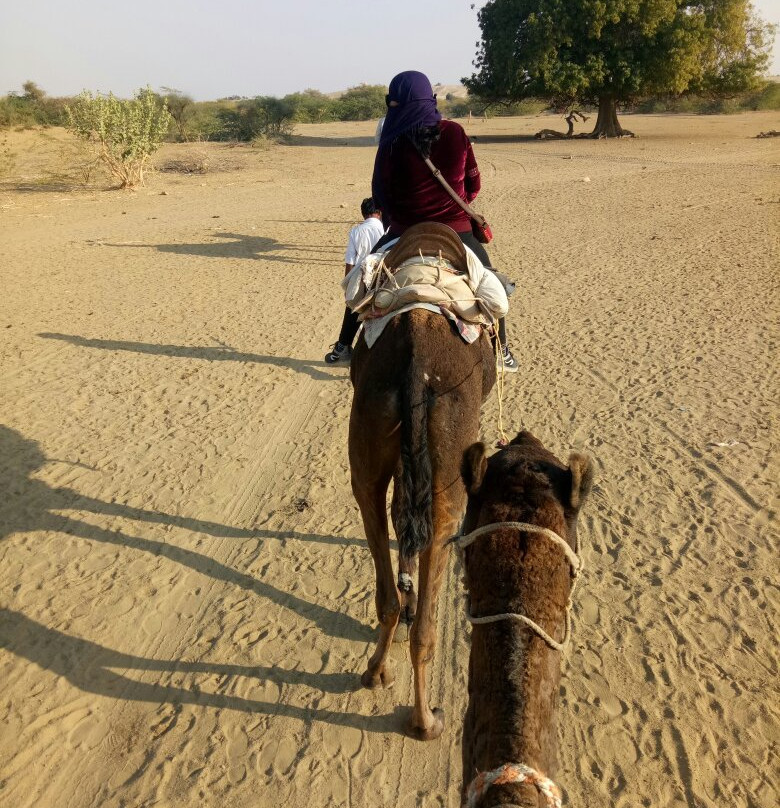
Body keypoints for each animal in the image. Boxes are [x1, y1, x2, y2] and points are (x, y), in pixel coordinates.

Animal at [350, 234, 496, 740]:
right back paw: (425, 719)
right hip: (451, 467)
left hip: (369, 440)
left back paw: (377, 668)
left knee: (380, 539)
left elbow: (401, 521)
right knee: (427, 617)